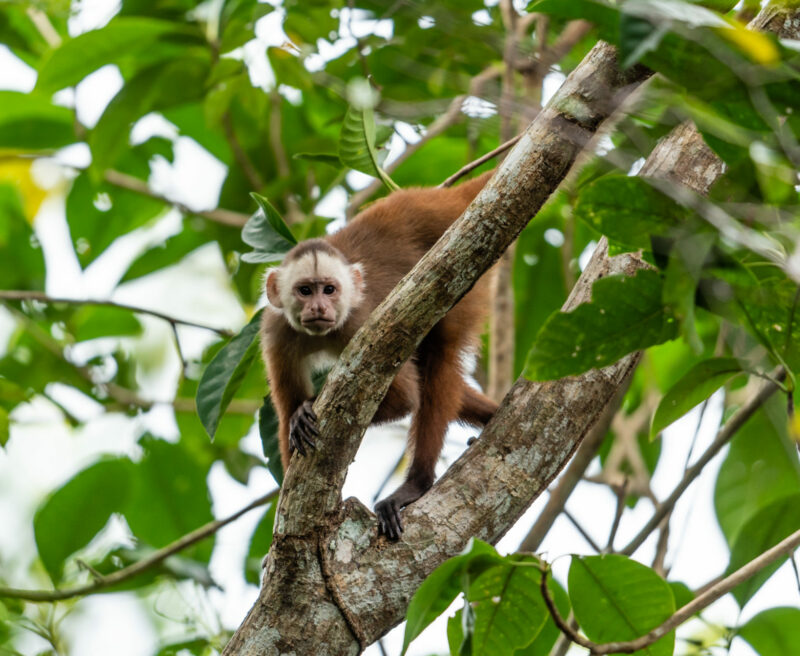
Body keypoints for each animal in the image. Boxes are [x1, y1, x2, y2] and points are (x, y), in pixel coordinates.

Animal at [262, 172, 496, 540]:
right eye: (305, 290)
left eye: (329, 290)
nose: (319, 308)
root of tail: (443, 199)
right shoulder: (277, 333)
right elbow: (286, 415)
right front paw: (297, 417)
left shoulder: (359, 321)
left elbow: (404, 399)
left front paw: (308, 408)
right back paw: (494, 414)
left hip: (466, 271)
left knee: (439, 358)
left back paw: (416, 484)